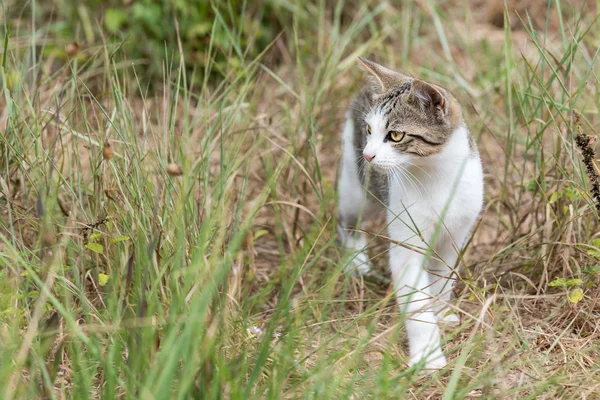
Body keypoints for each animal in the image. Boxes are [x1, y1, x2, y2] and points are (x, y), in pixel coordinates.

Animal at [338, 57, 482, 370]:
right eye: (370, 130)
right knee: (347, 220)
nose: (368, 155)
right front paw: (428, 354)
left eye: (395, 135)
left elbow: (443, 280)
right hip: (356, 186)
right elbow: (416, 304)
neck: (436, 177)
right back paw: (357, 262)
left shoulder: (455, 236)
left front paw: (441, 311)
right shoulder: (406, 242)